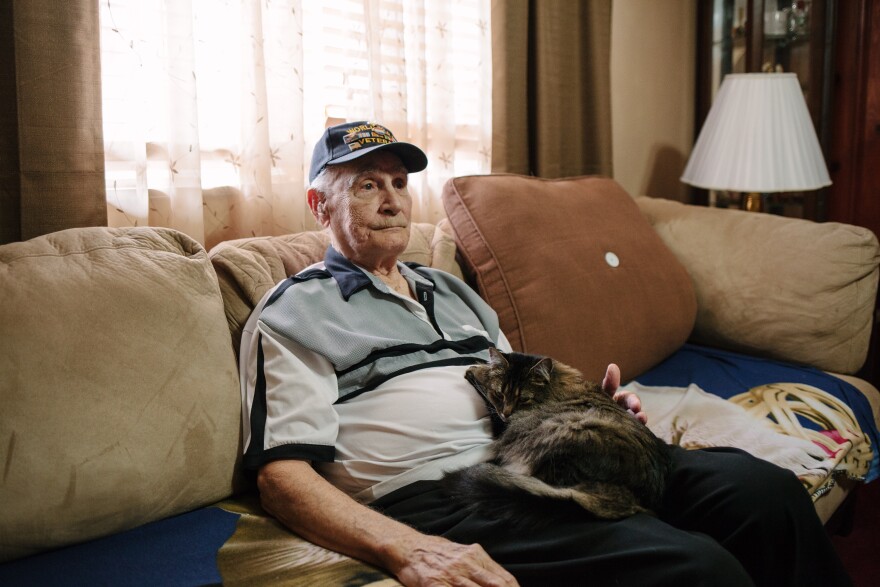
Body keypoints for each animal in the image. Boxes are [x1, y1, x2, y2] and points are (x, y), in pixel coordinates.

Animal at [444, 350, 672, 520]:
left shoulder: (503, 424)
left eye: (523, 399)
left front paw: (474, 370)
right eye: (501, 394)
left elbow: (484, 394)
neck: (555, 385)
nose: (507, 412)